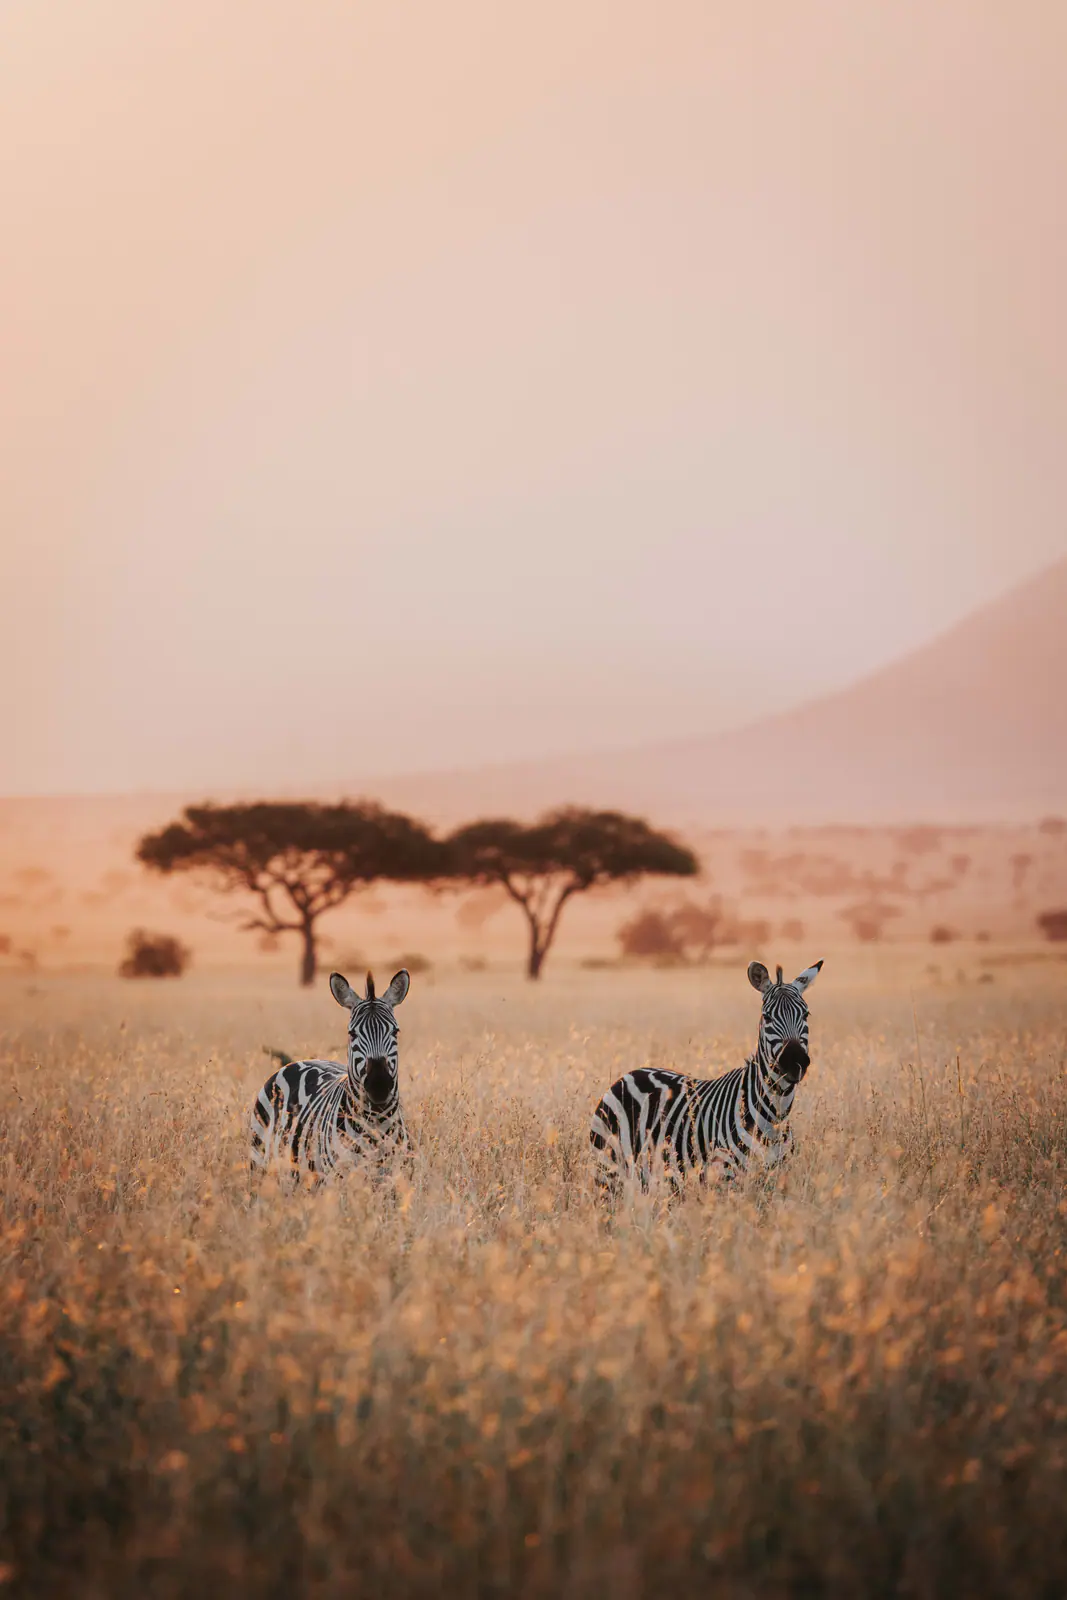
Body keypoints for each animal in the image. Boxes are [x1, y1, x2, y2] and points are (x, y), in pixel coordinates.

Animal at [250, 968, 411, 1181]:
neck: (377, 1123)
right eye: (352, 1034)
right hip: (259, 1159)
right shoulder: (340, 1177)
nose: (379, 1085)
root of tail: (297, 1062)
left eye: (395, 1032)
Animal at [589, 959, 823, 1196]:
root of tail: (629, 1075)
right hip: (608, 1169)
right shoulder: (726, 1178)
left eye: (806, 1015)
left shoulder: (777, 1181)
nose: (795, 1062)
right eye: (767, 1017)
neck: (774, 1115)